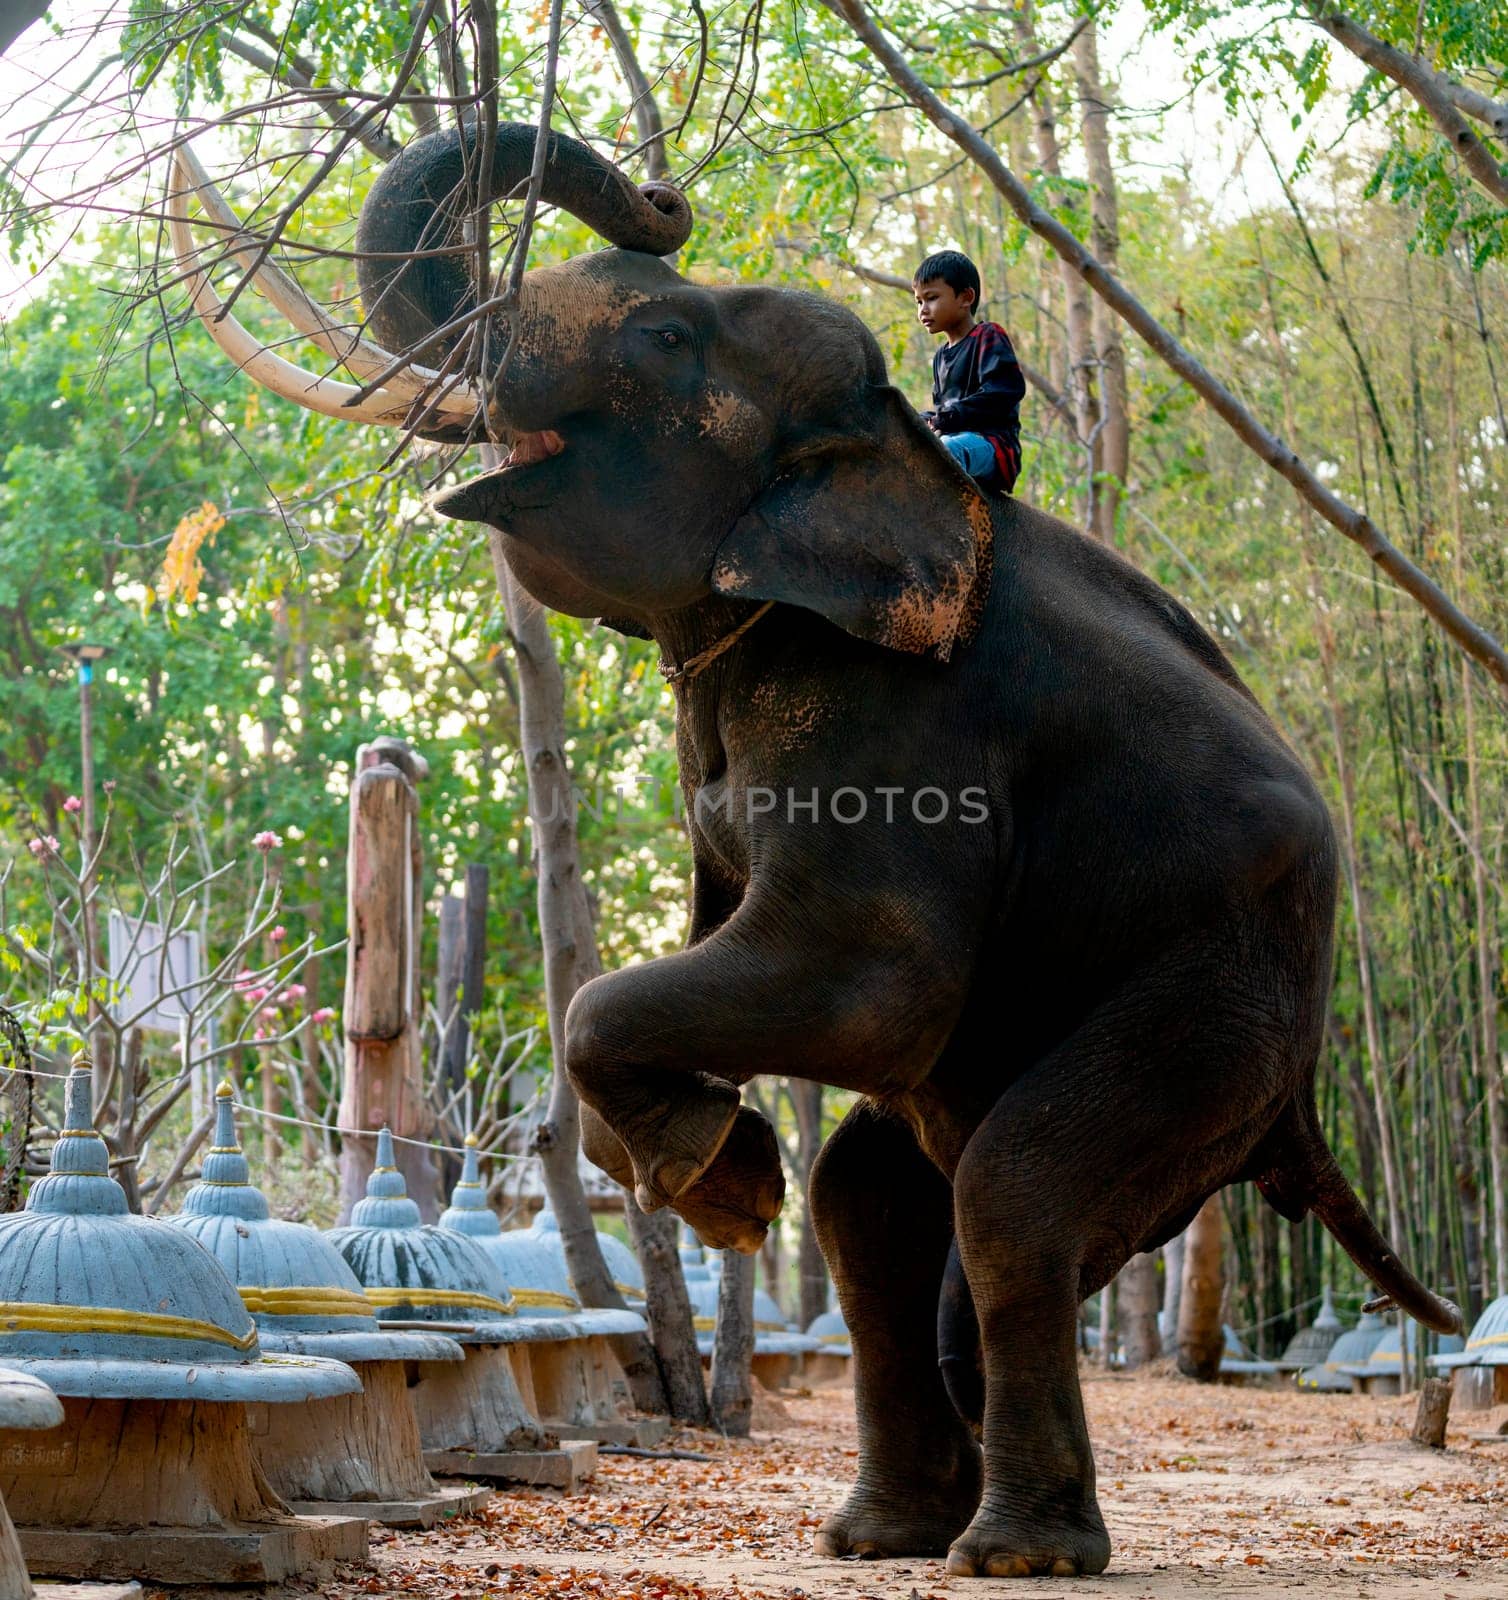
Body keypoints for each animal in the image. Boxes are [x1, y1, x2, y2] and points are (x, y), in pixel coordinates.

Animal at [176, 121, 1466, 1574]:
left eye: (667, 336)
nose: (663, 194)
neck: (894, 445)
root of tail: (1298, 1107)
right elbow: (739, 968)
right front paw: (724, 1170)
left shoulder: (896, 721)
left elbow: (864, 984)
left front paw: (726, 1187)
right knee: (872, 1200)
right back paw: (884, 1535)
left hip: (1223, 1005)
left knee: (1010, 1193)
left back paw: (1009, 1554)